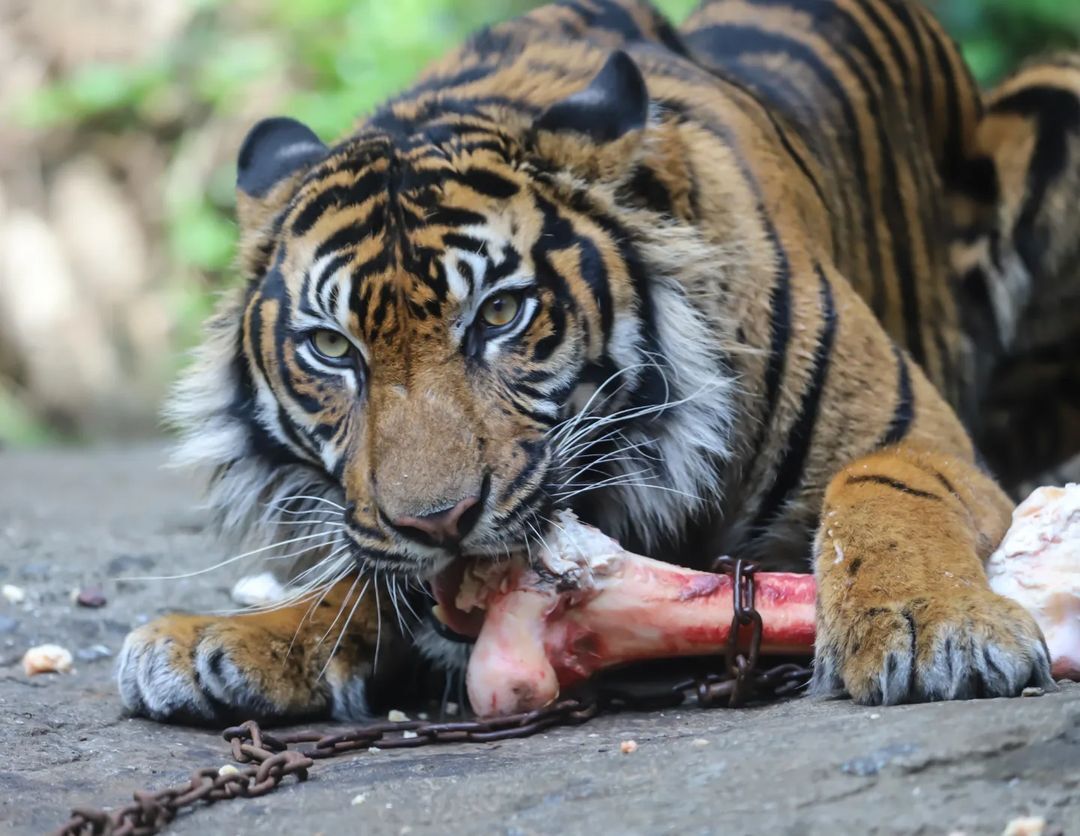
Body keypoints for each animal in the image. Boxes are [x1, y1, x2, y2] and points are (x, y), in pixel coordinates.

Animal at [111, 0, 1062, 725]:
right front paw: (234, 639)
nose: (437, 523)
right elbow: (364, 577)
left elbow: (884, 495)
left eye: (500, 313)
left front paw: (932, 625)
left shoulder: (922, 436)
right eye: (332, 348)